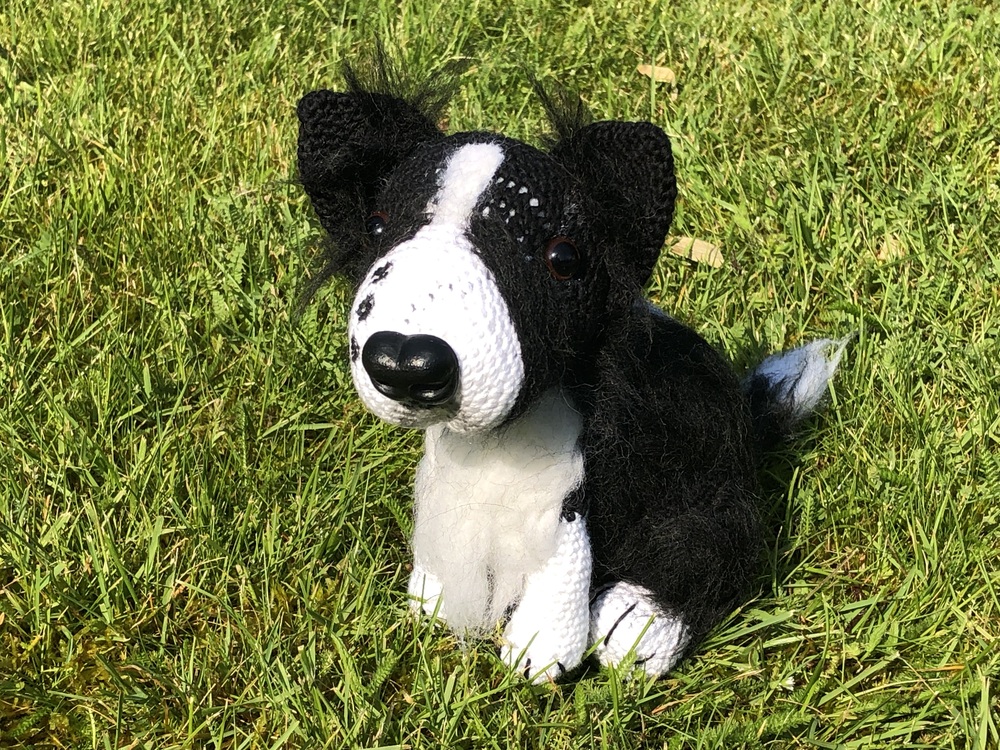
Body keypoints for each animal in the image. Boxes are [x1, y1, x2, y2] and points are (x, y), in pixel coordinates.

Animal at [296, 67, 844, 684]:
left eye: (562, 258)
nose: (405, 362)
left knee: (716, 548)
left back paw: (635, 625)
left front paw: (540, 655)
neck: (496, 443)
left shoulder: (570, 499)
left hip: (715, 493)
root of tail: (747, 419)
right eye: (376, 226)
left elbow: (565, 567)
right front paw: (429, 600)